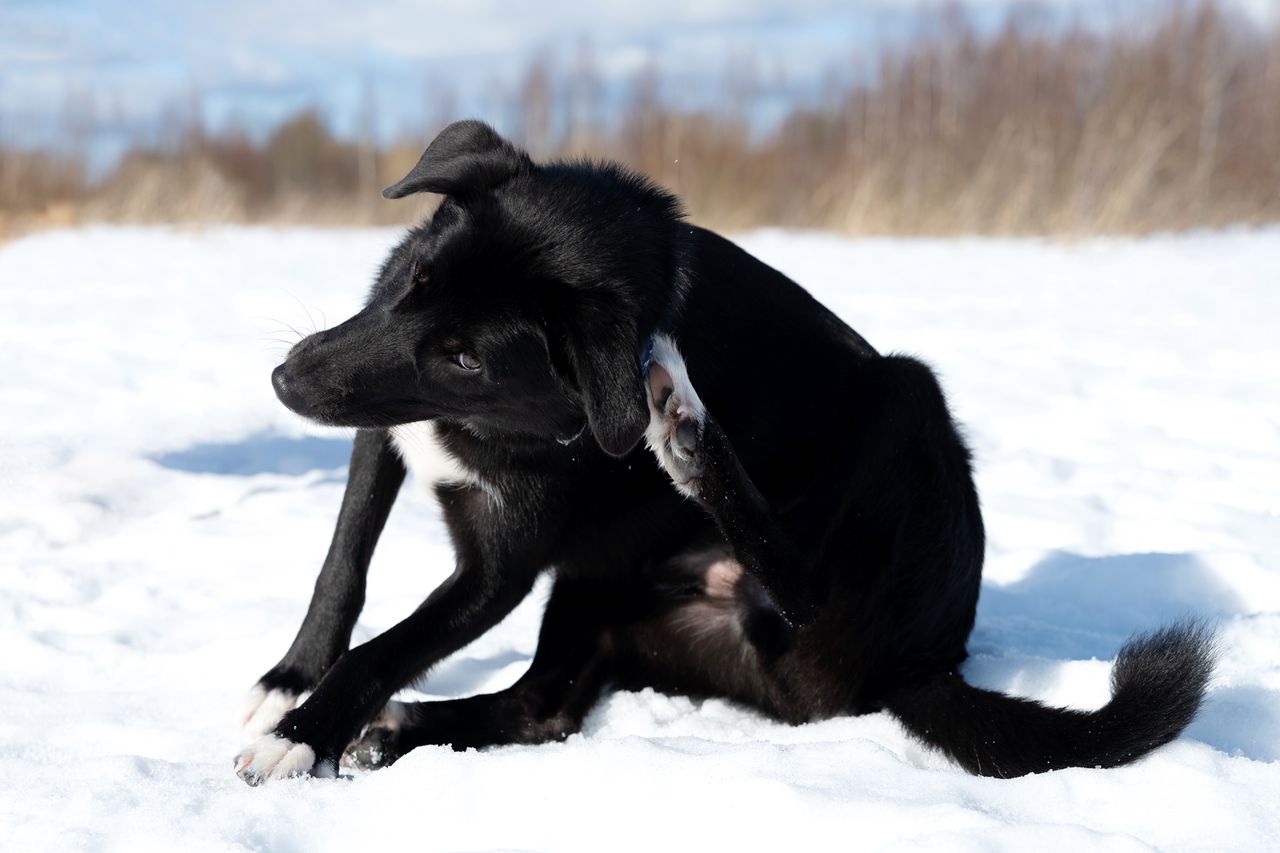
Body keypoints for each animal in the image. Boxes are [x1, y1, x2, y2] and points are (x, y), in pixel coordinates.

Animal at [238, 121, 1208, 783]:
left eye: (466, 356)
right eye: (413, 279)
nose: (286, 378)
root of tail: (924, 660)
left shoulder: (499, 566)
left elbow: (390, 644)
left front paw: (301, 735)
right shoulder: (383, 430)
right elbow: (342, 565)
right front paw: (291, 684)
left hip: (904, 397)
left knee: (803, 584)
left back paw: (690, 436)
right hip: (600, 587)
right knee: (541, 708)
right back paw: (399, 728)